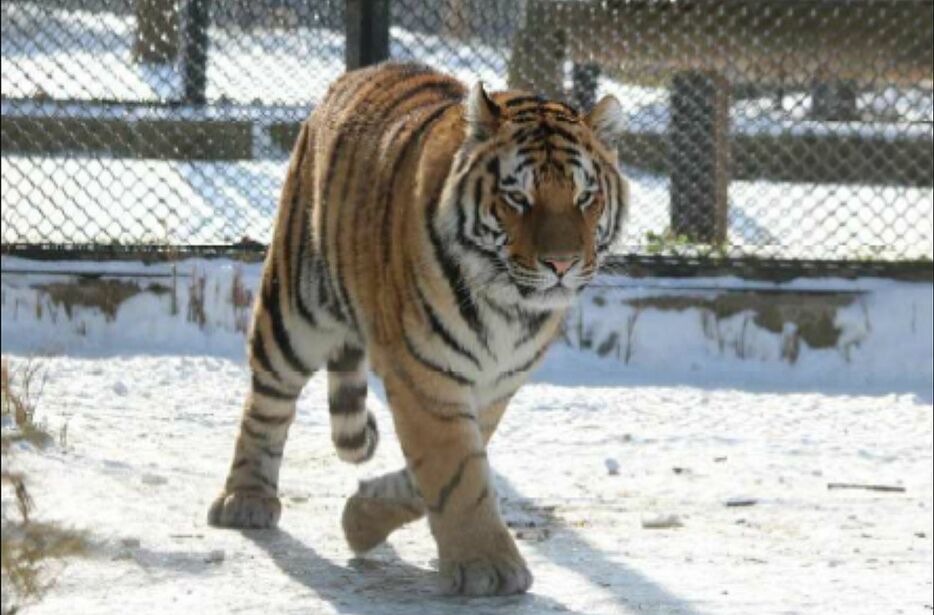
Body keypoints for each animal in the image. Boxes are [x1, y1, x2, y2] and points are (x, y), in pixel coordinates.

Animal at [209, 62, 632, 596]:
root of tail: (361, 72)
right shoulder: (426, 374)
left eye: (585, 198)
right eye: (517, 197)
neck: (510, 309)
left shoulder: (494, 385)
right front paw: (487, 566)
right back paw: (246, 499)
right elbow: (455, 470)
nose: (562, 263)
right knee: (266, 402)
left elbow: (443, 467)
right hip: (293, 308)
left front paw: (362, 518)